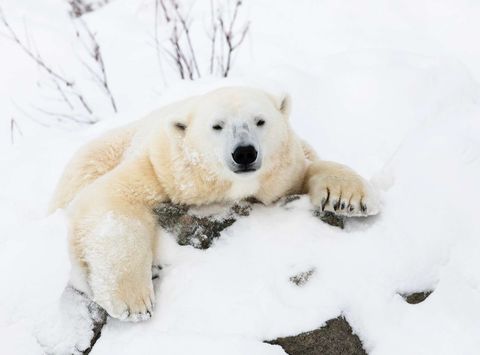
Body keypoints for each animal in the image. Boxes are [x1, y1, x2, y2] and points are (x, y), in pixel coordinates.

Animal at [48, 87, 378, 322]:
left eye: (260, 120)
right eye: (217, 126)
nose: (244, 152)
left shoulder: (287, 168)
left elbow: (310, 166)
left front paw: (349, 199)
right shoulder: (164, 169)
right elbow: (111, 199)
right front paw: (133, 302)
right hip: (99, 153)